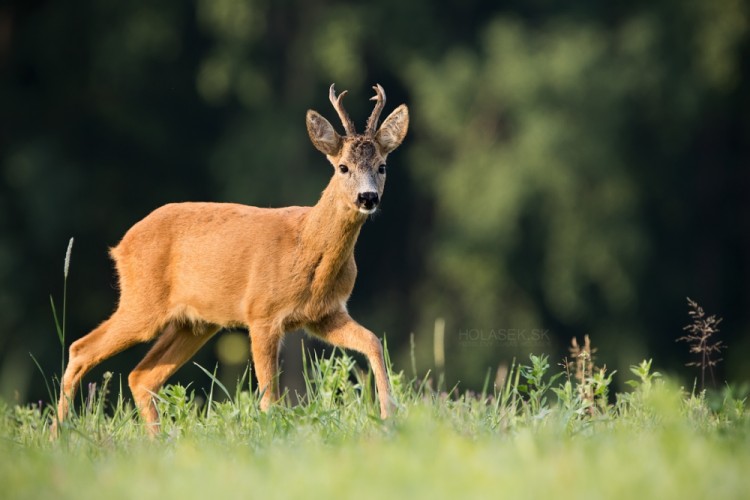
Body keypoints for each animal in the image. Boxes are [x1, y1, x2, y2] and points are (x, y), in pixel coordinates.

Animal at [54, 83, 412, 434]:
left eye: (382, 166)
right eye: (342, 167)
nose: (367, 198)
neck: (306, 245)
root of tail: (121, 246)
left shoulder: (324, 314)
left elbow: (373, 341)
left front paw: (388, 415)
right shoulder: (261, 313)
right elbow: (269, 397)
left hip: (194, 324)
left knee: (141, 376)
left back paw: (156, 440)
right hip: (142, 303)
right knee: (81, 349)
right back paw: (59, 435)